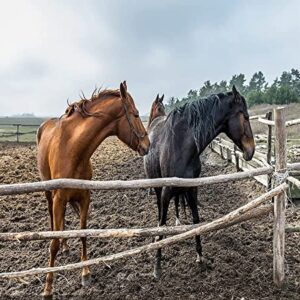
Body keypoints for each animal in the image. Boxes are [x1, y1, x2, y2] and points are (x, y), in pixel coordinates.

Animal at [37, 80, 150, 298]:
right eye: (136, 114)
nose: (147, 145)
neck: (73, 150)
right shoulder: (58, 198)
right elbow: (53, 243)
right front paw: (48, 288)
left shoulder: (84, 197)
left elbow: (82, 233)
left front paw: (85, 273)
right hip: (49, 194)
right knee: (53, 220)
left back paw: (66, 247)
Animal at [144, 85, 255, 278]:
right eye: (245, 117)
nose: (252, 150)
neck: (181, 145)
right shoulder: (166, 190)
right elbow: (162, 224)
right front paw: (157, 266)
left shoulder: (192, 188)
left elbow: (196, 220)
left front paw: (199, 256)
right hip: (157, 187)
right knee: (159, 213)